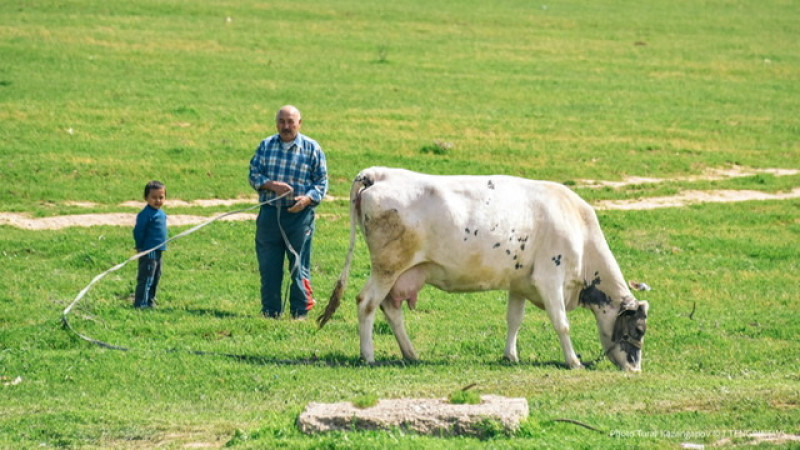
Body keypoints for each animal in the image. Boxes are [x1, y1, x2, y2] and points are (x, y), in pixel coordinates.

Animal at [316, 167, 648, 370]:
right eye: (639, 329)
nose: (635, 369)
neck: (578, 225)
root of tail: (377, 174)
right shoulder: (550, 277)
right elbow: (561, 323)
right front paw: (574, 361)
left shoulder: (519, 283)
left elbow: (514, 320)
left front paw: (511, 355)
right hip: (387, 267)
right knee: (367, 303)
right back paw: (369, 355)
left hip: (401, 273)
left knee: (390, 309)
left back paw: (411, 353)